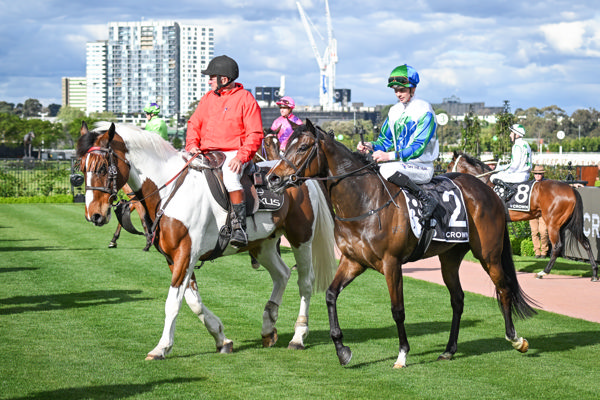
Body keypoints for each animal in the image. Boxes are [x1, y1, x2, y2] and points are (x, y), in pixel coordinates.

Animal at [75, 121, 338, 360]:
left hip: (300, 239)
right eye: (81, 166)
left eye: (101, 168)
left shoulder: (185, 254)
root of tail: (299, 175)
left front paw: (161, 347)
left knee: (305, 282)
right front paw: (221, 338)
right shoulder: (175, 258)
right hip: (262, 244)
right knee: (282, 274)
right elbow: (194, 302)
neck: (171, 191)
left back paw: (298, 336)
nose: (93, 214)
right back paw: (268, 326)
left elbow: (173, 303)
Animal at [268, 121, 536, 368]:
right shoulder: (353, 261)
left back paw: (516, 339)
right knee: (458, 299)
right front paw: (342, 350)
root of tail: (487, 189)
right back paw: (449, 349)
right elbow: (331, 295)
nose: (273, 177)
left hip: (488, 254)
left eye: (302, 147)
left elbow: (397, 310)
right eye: (285, 145)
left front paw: (402, 355)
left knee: (504, 289)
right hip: (450, 257)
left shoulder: (392, 263)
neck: (365, 201)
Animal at [448, 151, 596, 282]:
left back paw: (543, 272)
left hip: (553, 223)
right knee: (586, 242)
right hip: (569, 223)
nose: (446, 175)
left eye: (449, 166)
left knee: (557, 246)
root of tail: (571, 189)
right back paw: (594, 273)